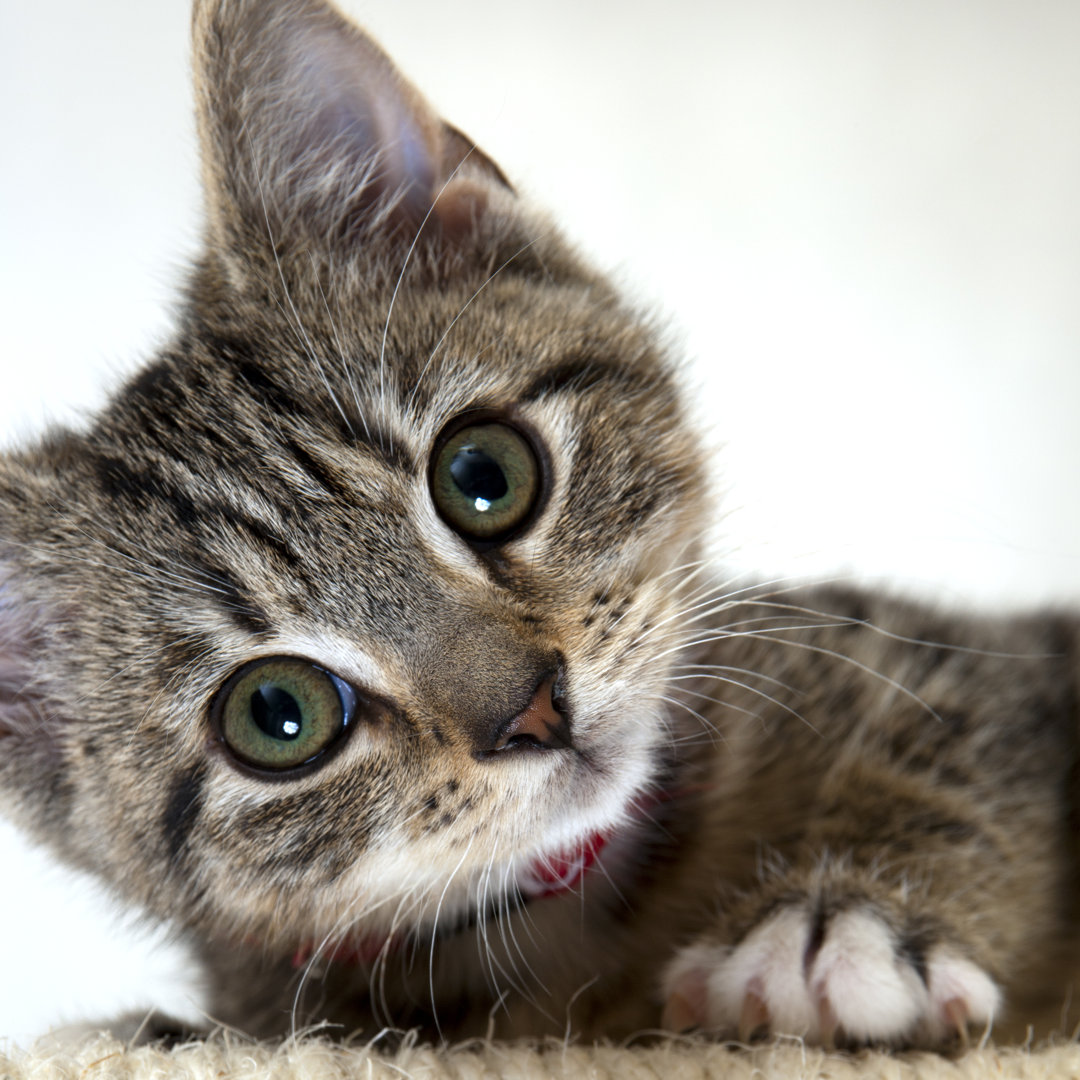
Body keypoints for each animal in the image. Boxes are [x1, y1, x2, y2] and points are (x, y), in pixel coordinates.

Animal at [2, 0, 1080, 1049]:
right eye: (278, 715)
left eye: (483, 474)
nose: (531, 710)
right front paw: (162, 1033)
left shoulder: (979, 659)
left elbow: (970, 742)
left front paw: (845, 917)